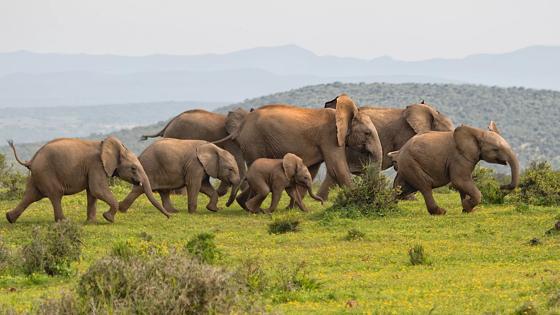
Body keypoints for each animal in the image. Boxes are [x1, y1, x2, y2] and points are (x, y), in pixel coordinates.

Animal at [6, 137, 171, 223]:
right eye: (134, 168)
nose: (170, 217)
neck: (104, 145)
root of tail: (31, 160)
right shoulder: (96, 165)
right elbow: (98, 189)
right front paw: (108, 219)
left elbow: (92, 193)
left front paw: (91, 222)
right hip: (46, 173)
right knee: (55, 195)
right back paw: (64, 222)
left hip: (37, 175)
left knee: (30, 196)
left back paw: (9, 218)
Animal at [388, 122, 520, 216]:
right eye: (496, 149)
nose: (501, 186)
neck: (478, 132)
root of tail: (399, 152)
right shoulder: (459, 157)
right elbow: (460, 181)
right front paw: (467, 206)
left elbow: (463, 184)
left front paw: (467, 210)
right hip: (411, 163)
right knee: (425, 186)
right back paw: (441, 212)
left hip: (407, 167)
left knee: (402, 189)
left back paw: (391, 207)